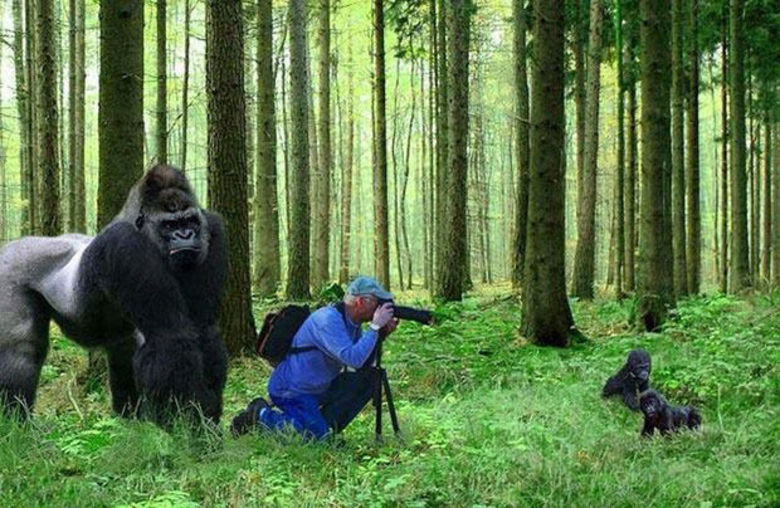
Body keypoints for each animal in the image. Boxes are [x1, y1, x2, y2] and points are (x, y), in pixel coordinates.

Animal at [0, 165, 230, 422]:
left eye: (190, 221)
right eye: (169, 225)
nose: (185, 235)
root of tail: (13, 245)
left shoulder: (212, 227)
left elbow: (203, 328)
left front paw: (207, 415)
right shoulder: (125, 243)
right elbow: (170, 335)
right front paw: (190, 423)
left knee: (123, 350)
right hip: (10, 269)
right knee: (22, 349)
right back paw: (15, 421)